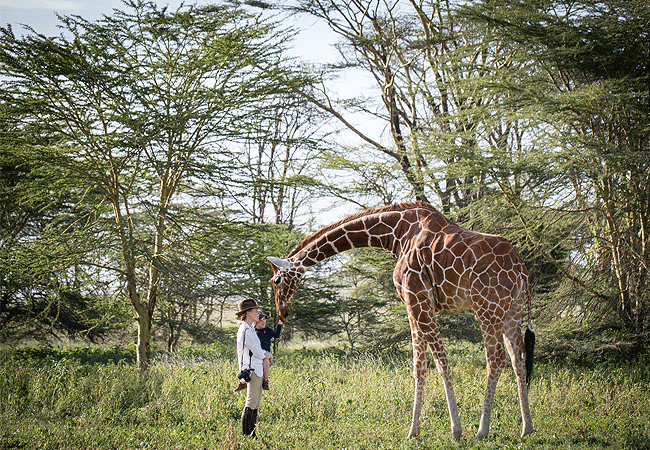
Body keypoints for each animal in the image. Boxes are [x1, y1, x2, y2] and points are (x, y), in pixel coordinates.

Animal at [268, 201, 532, 440]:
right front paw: (414, 431)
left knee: (496, 359)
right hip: (512, 311)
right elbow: (419, 366)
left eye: (276, 281)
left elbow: (441, 363)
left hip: (487, 307)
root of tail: (521, 268)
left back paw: (482, 430)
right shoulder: (414, 305)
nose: (282, 312)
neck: (396, 234)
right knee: (518, 358)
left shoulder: (417, 300)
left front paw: (455, 430)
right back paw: (526, 428)